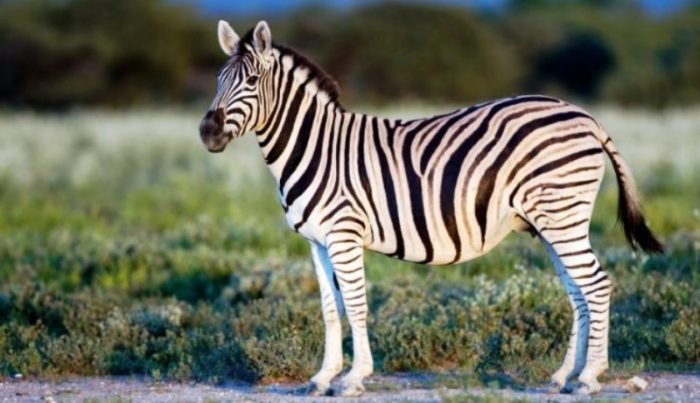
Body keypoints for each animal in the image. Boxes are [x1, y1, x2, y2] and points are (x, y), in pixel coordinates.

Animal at [199, 20, 664, 397]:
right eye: (218, 79)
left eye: (251, 80)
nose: (208, 132)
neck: (316, 147)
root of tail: (585, 117)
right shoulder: (317, 241)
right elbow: (331, 310)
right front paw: (322, 377)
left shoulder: (344, 234)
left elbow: (356, 304)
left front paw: (353, 378)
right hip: (553, 222)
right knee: (579, 292)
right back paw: (565, 375)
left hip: (562, 215)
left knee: (596, 285)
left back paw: (589, 378)